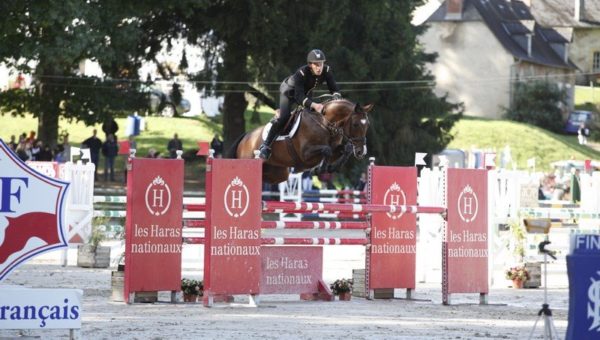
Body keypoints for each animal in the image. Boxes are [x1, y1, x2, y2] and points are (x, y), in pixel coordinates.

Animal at [229, 98, 370, 183]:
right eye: (356, 124)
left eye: (367, 124)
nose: (361, 152)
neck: (324, 123)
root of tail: (246, 136)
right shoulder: (305, 154)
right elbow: (327, 150)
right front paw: (318, 169)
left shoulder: (336, 148)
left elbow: (345, 150)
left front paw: (330, 168)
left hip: (277, 173)